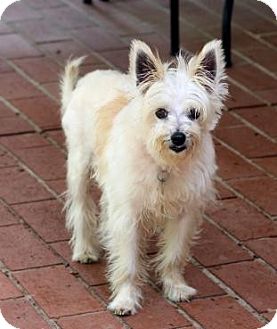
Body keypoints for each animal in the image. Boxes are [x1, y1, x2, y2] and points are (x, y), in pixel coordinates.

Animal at [59, 39, 226, 314]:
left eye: (193, 113)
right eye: (160, 113)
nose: (178, 137)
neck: (163, 163)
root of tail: (89, 78)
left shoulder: (184, 214)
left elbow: (174, 255)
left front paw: (175, 287)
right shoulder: (127, 215)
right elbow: (127, 261)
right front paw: (125, 299)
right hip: (79, 167)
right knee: (81, 207)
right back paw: (85, 249)